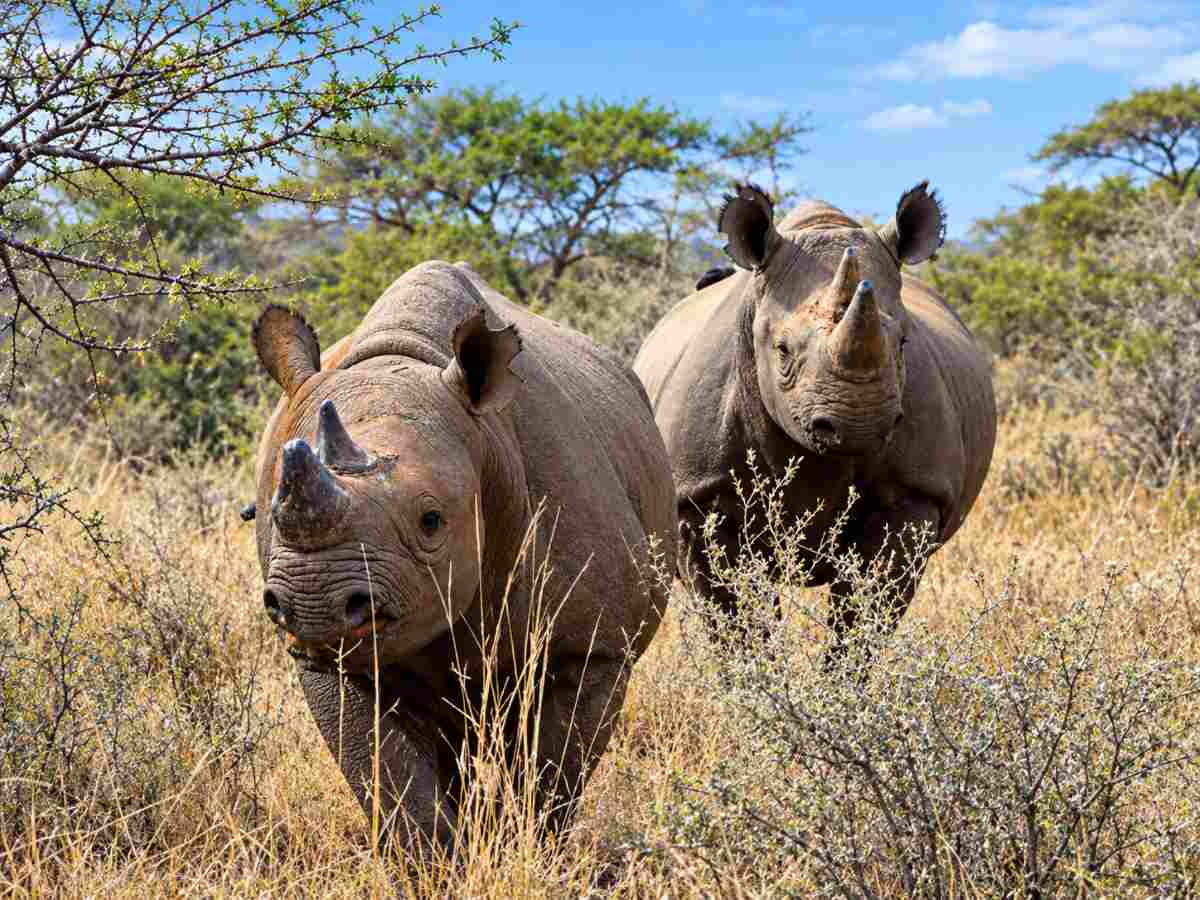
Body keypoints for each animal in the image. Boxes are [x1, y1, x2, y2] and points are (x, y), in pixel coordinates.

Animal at [251, 261, 675, 853]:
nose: (314, 604)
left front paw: (523, 851)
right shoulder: (329, 659)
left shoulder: (595, 646)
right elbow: (388, 780)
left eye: (431, 521)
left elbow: (550, 774)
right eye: (271, 511)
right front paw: (440, 863)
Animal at [634, 183, 995, 664]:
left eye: (902, 343)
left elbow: (863, 619)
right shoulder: (699, 498)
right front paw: (757, 681)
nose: (858, 425)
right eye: (782, 351)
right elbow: (738, 621)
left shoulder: (914, 495)